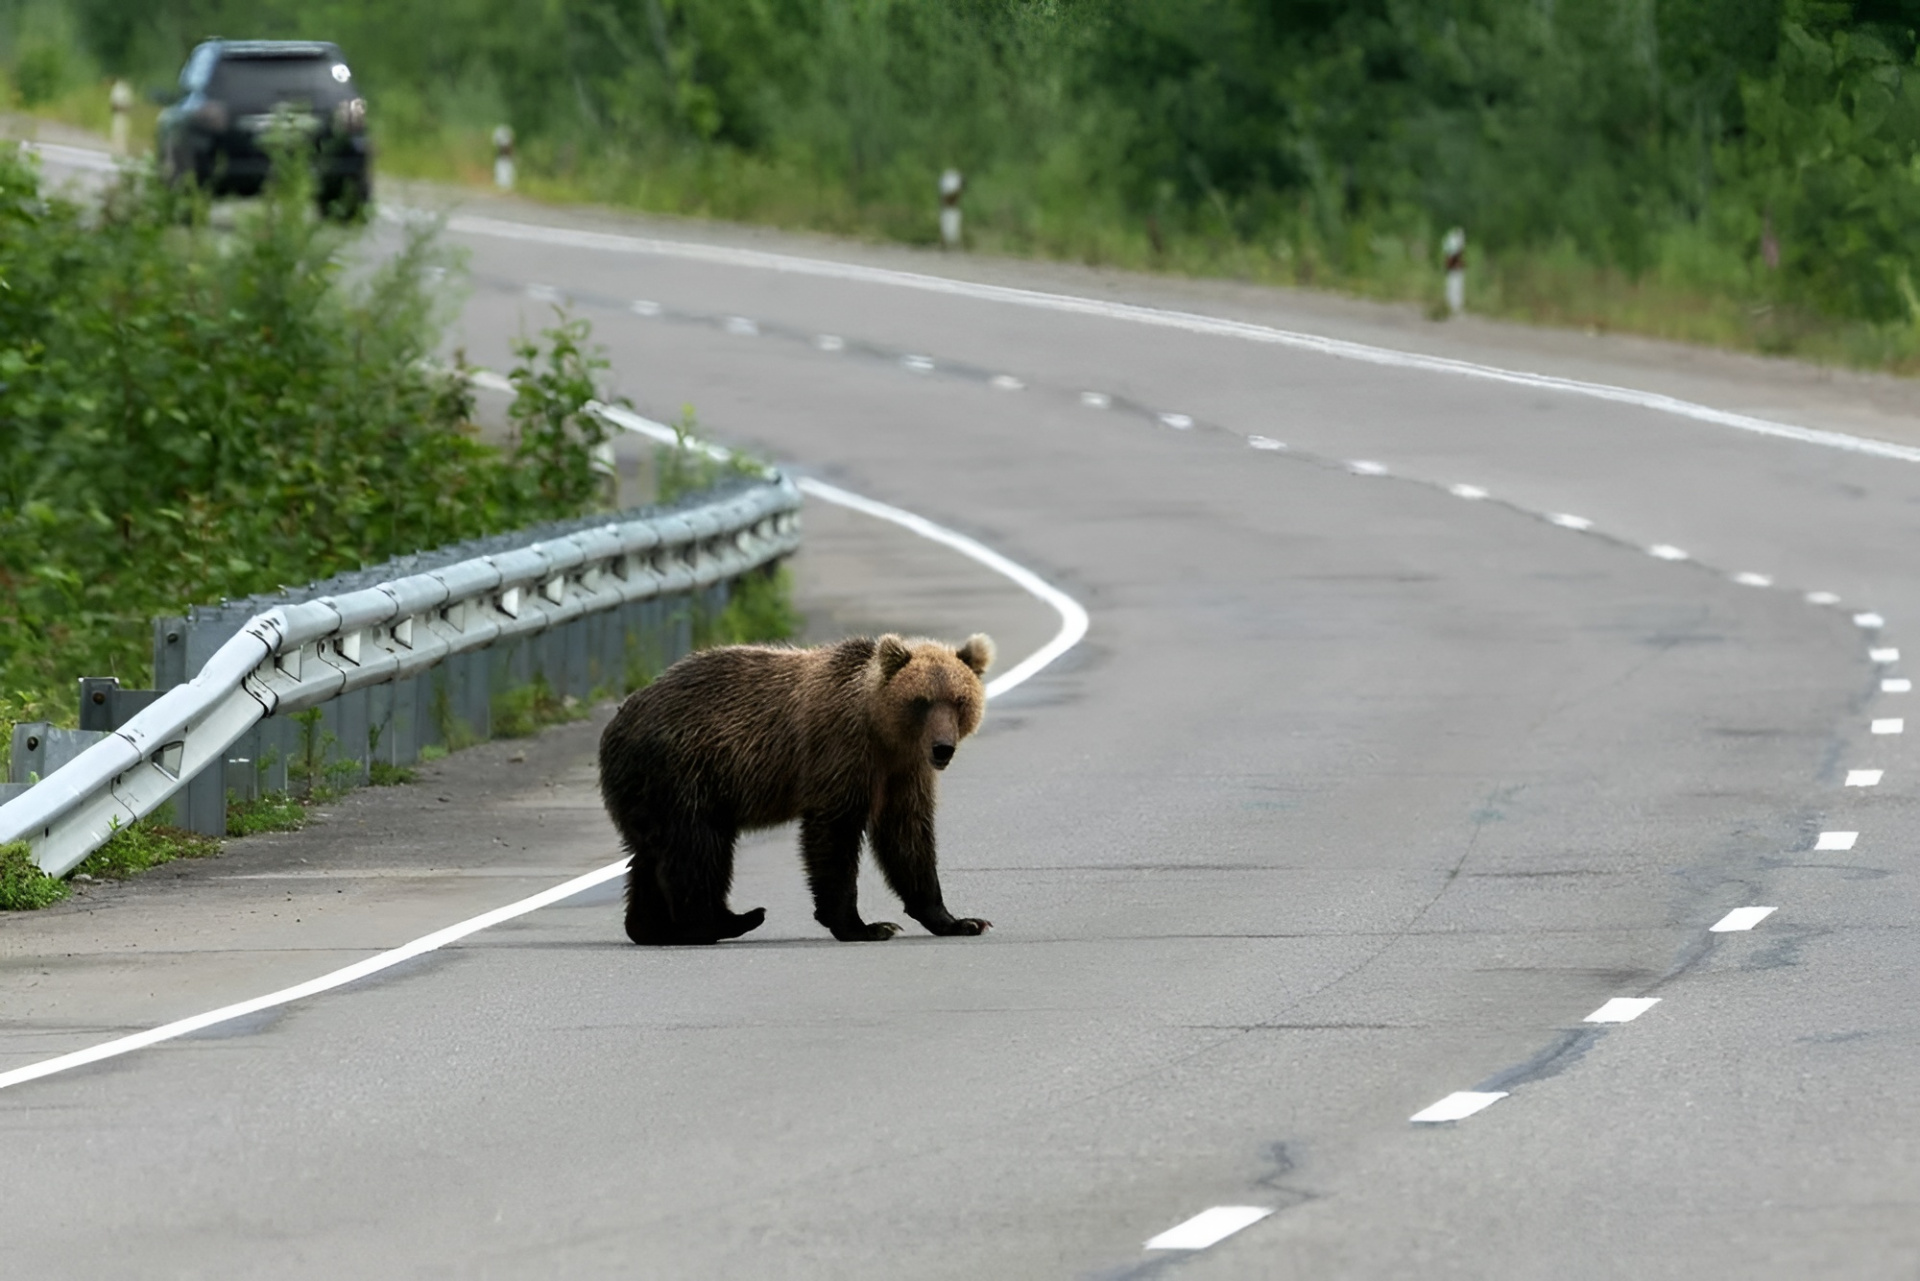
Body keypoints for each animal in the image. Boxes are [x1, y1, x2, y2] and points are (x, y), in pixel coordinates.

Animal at [597, 632, 996, 945]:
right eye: (921, 701)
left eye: (959, 700)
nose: (942, 748)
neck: (883, 734)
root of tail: (614, 725)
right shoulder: (840, 753)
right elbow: (834, 835)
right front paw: (864, 926)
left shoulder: (903, 773)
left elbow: (908, 838)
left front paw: (960, 920)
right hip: (682, 772)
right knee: (696, 849)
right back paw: (717, 924)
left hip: (652, 791)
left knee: (654, 855)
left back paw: (655, 928)